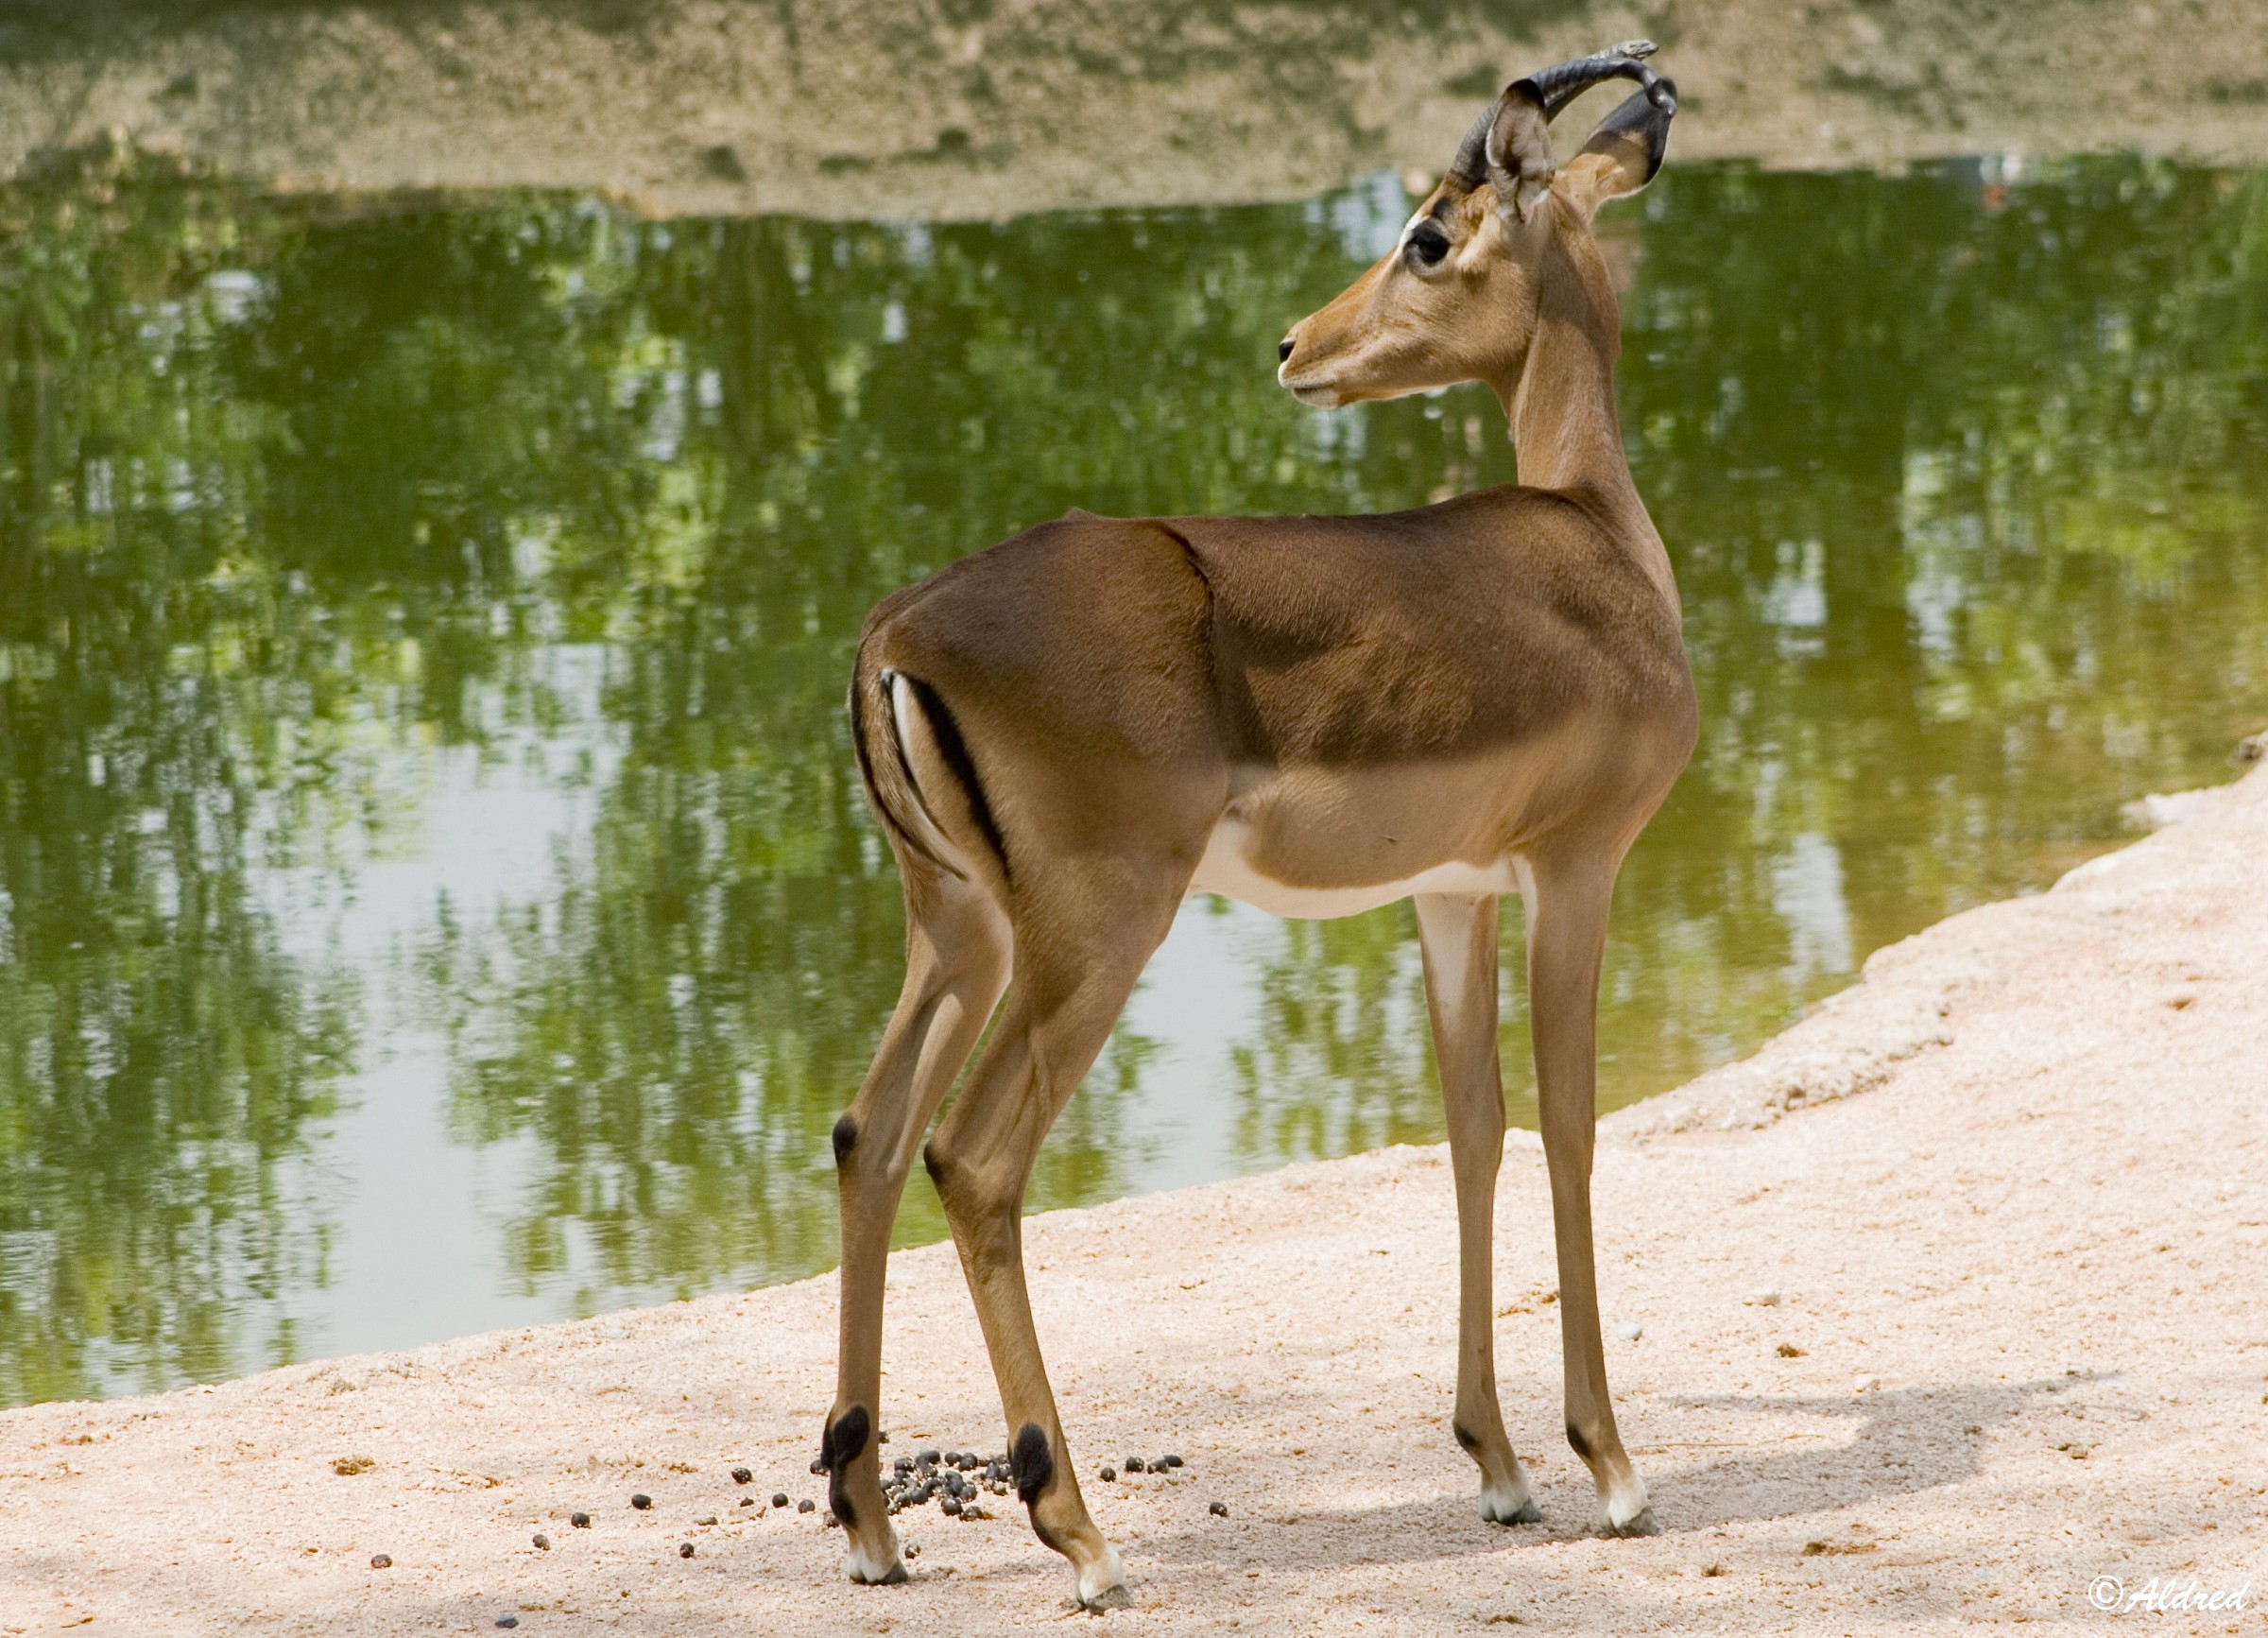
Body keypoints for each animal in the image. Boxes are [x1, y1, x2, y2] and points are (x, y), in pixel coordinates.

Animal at [819, 43, 1692, 1609]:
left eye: (1428, 233)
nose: (1294, 347)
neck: (1594, 541)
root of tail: (895, 629)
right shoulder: (1575, 869)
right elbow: (1573, 1124)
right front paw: (1610, 1469)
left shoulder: (1453, 894)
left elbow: (1472, 1129)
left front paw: (1501, 1466)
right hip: (1094, 935)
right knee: (971, 1158)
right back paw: (1083, 1540)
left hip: (964, 933)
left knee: (870, 1128)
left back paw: (870, 1527)